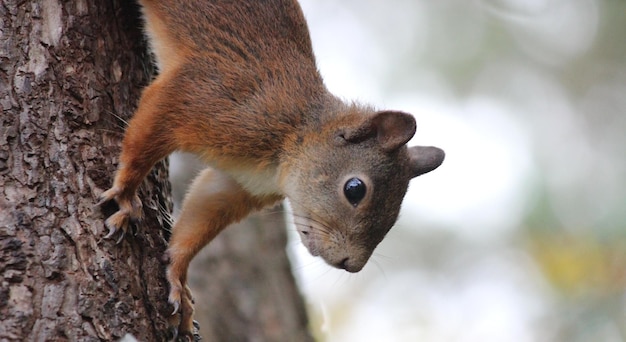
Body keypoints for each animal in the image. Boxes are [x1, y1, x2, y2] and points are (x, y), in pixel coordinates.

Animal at [96, 0, 444, 336]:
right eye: (355, 189)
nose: (351, 264)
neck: (294, 133)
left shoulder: (239, 184)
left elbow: (203, 211)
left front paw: (178, 278)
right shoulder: (205, 97)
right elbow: (149, 133)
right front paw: (126, 195)